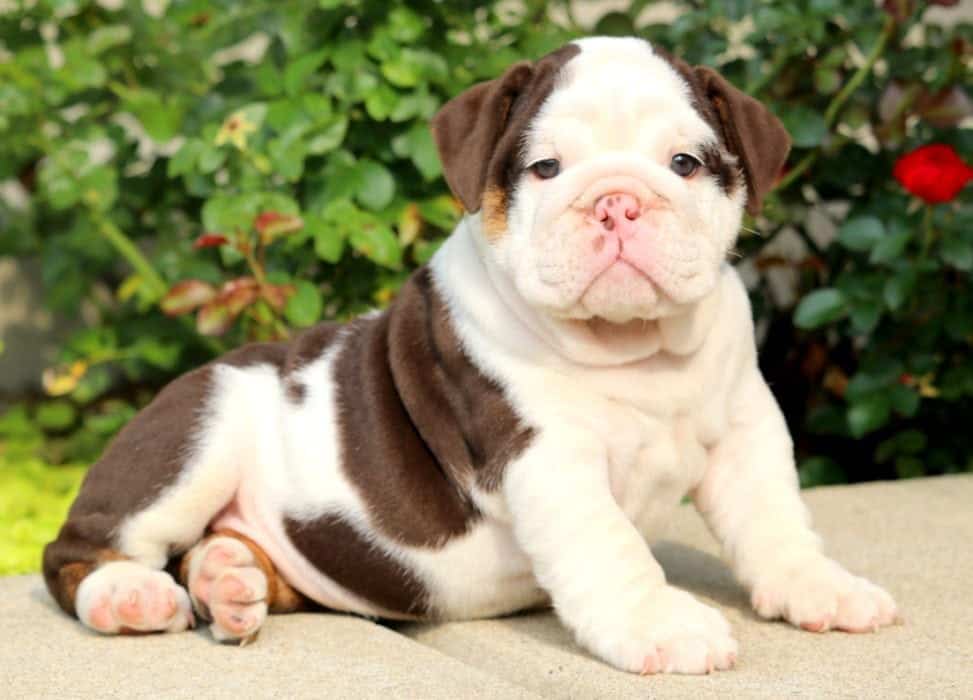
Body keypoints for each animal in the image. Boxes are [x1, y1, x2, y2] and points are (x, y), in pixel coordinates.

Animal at [43, 38, 896, 672]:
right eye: (545, 168)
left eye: (684, 163)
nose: (616, 200)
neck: (632, 346)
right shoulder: (546, 457)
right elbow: (613, 548)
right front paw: (663, 626)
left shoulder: (745, 428)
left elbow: (774, 520)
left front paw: (820, 587)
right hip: (195, 436)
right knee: (81, 549)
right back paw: (129, 596)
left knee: (216, 557)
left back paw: (228, 579)